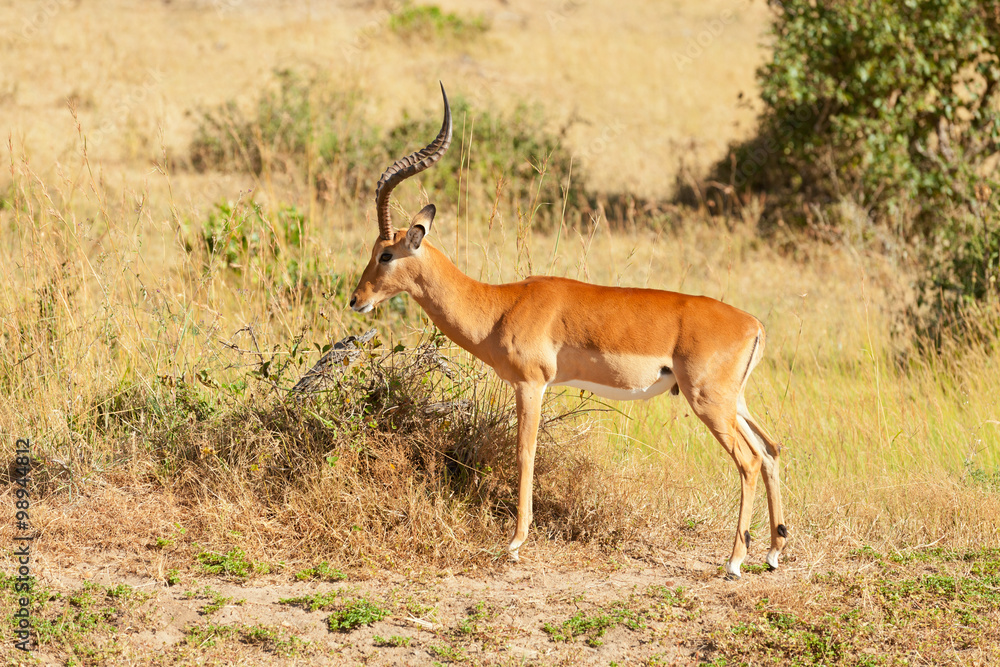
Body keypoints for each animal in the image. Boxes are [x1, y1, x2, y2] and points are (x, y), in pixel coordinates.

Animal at [349, 84, 787, 578]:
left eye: (386, 254)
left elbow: (525, 452)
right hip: (735, 402)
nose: (356, 299)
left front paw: (515, 543)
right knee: (771, 450)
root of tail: (753, 323)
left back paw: (734, 562)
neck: (501, 305)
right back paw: (772, 553)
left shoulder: (531, 385)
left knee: (749, 460)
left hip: (709, 402)